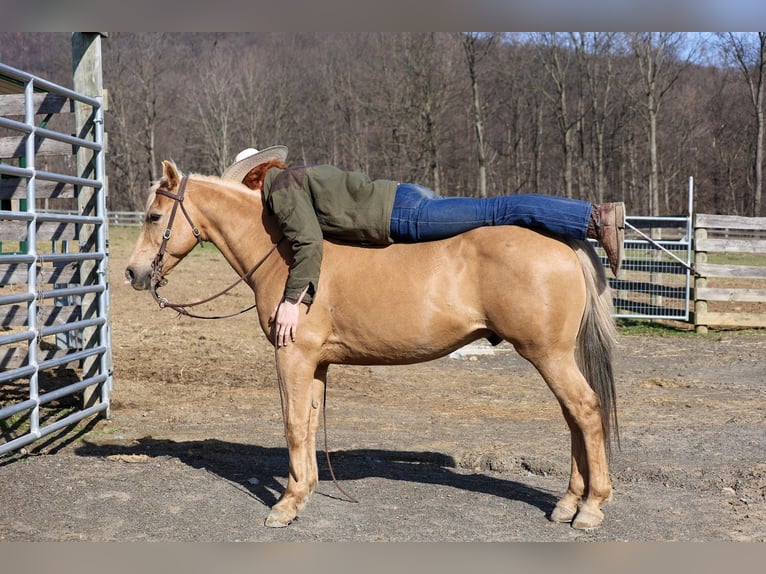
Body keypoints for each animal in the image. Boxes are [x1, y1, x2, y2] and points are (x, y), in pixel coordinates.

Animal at [125, 160, 619, 530]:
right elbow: (309, 424)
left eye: (154, 217)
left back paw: (591, 507)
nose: (133, 273)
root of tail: (565, 244)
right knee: (575, 417)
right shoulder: (316, 363)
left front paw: (284, 505)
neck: (285, 255)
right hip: (553, 357)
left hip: (547, 355)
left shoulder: (292, 356)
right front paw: (302, 493)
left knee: (585, 411)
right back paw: (568, 502)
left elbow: (292, 425)